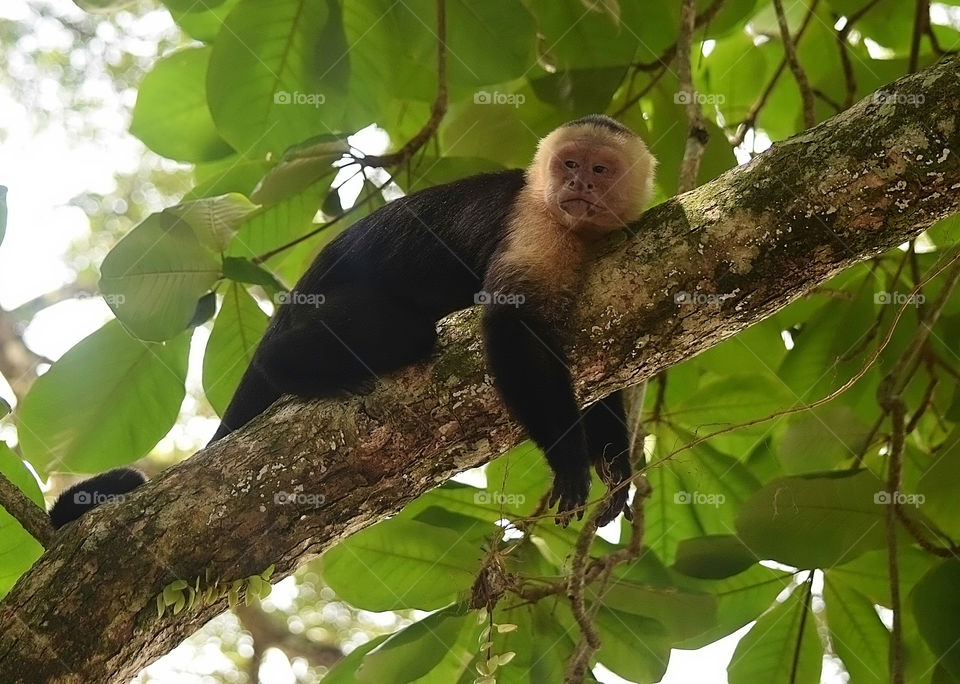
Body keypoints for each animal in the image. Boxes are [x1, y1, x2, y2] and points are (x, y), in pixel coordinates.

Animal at [50, 113, 652, 528]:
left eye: (600, 169)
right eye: (569, 164)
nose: (578, 186)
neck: (574, 230)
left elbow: (593, 364)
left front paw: (614, 462)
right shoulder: (536, 222)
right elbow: (513, 328)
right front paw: (569, 465)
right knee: (403, 332)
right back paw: (289, 368)